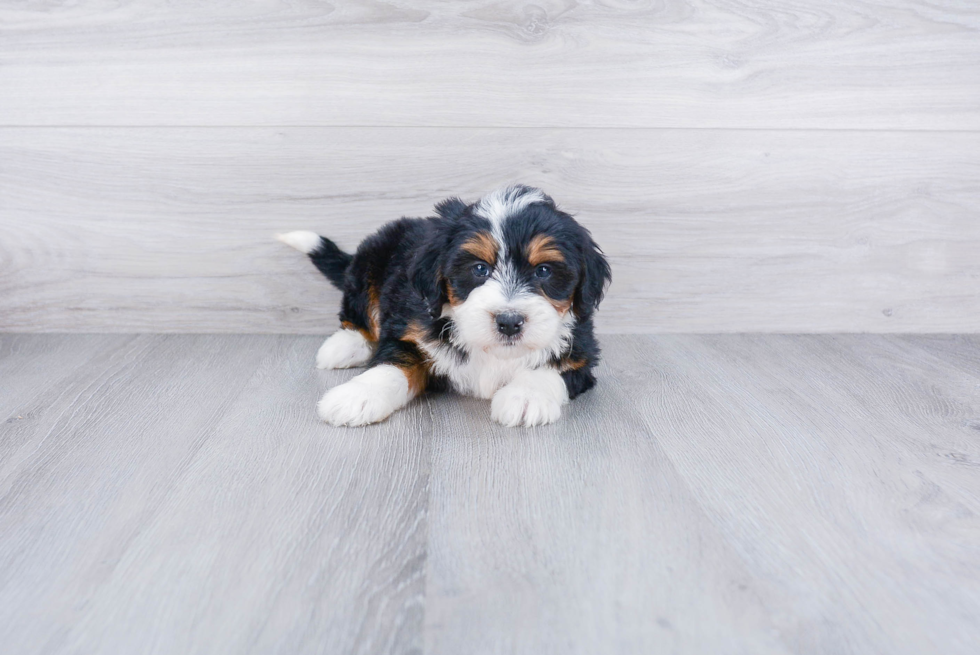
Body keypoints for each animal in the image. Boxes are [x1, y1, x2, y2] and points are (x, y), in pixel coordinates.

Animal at [276, 186, 608, 430]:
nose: (509, 322)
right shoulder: (411, 331)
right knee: (358, 309)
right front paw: (356, 396)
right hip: (372, 257)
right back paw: (344, 345)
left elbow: (553, 368)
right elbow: (392, 365)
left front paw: (524, 397)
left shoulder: (582, 351)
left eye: (544, 271)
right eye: (479, 269)